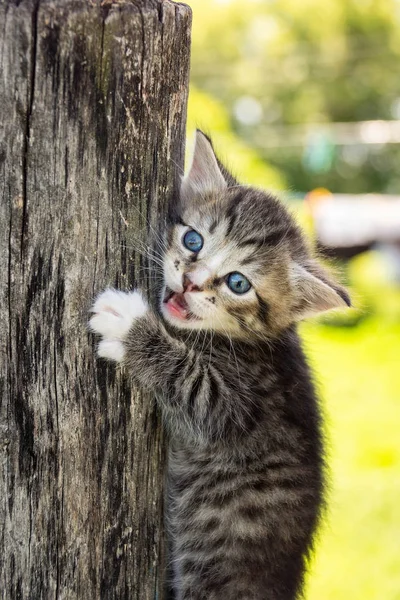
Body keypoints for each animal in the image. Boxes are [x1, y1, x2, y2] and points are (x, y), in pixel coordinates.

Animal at [90, 131, 350, 600]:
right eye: (193, 241)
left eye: (238, 283)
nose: (191, 281)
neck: (243, 343)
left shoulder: (235, 410)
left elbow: (189, 380)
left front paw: (130, 326)